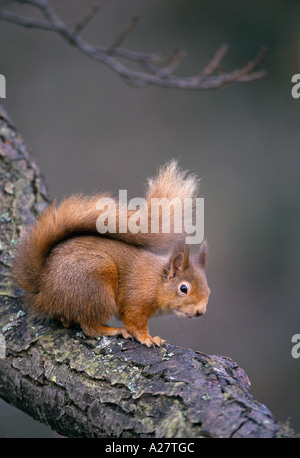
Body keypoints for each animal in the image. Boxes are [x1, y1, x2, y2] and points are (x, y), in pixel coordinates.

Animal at [12, 162, 211, 348]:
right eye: (183, 289)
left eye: (208, 291)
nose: (200, 312)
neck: (156, 281)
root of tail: (43, 285)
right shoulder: (135, 299)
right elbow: (134, 322)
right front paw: (148, 338)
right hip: (96, 286)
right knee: (90, 327)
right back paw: (114, 330)